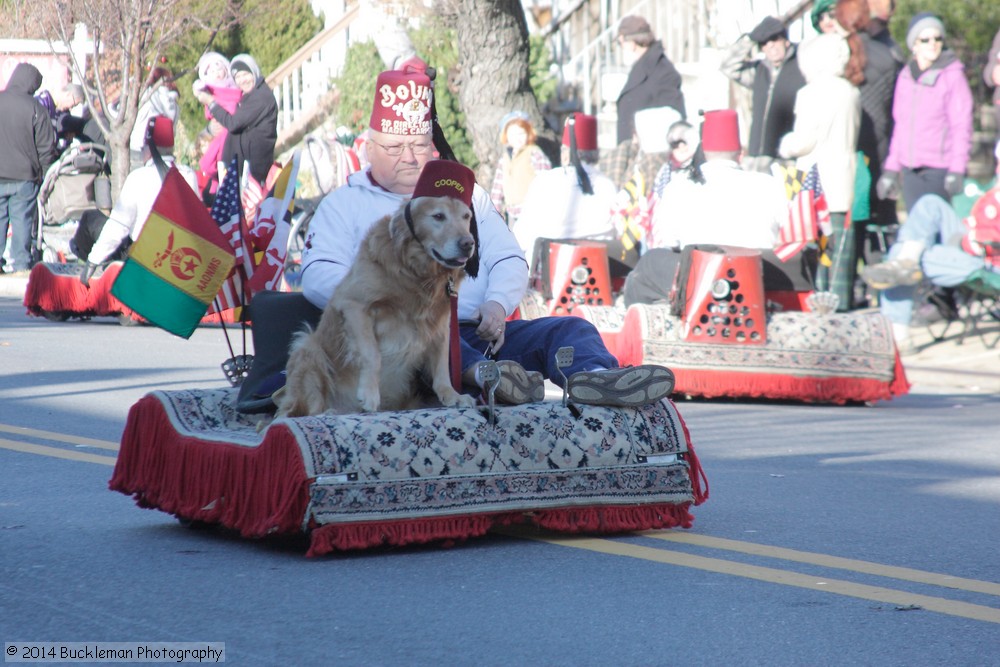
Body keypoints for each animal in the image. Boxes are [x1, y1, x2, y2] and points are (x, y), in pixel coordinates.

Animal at [274, 159, 476, 414]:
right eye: (438, 216)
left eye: (466, 216)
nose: (468, 243)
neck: (416, 271)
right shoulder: (354, 306)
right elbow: (372, 354)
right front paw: (369, 394)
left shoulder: (441, 322)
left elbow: (441, 363)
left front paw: (452, 395)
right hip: (307, 347)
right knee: (301, 410)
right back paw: (329, 411)